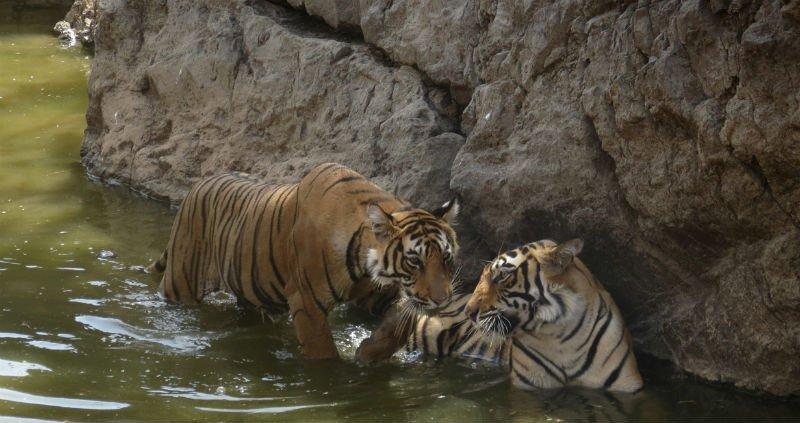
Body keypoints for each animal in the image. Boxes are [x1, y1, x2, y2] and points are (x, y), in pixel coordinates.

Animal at [147, 163, 460, 360]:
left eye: (446, 258)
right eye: (414, 261)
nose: (442, 300)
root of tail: (197, 184)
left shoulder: (378, 293)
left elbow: (402, 323)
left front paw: (369, 353)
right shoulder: (306, 299)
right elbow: (322, 353)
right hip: (182, 284)